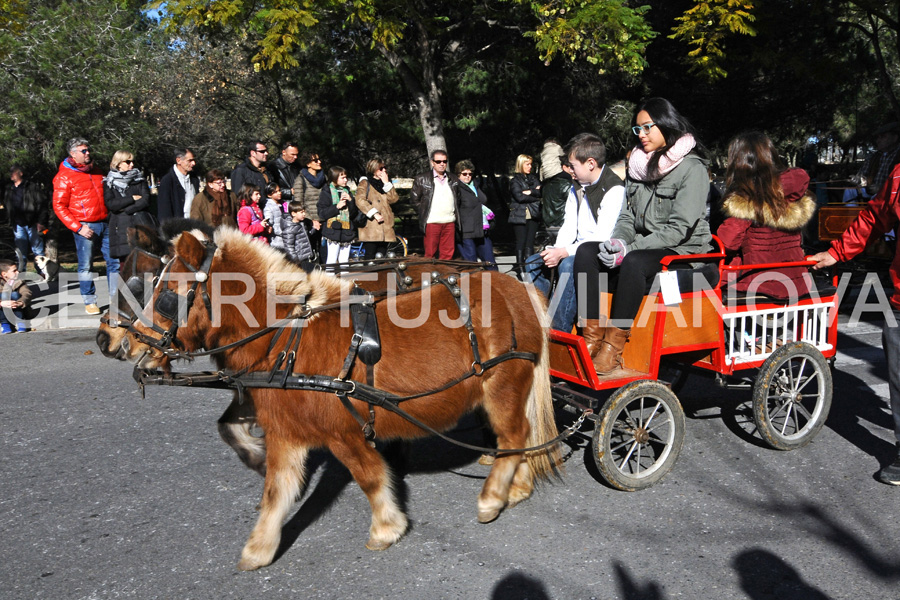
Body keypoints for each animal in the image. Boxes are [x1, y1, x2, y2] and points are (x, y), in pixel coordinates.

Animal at [119, 227, 556, 568]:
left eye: (165, 295)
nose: (128, 344)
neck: (287, 338)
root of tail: (517, 286)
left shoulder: (343, 432)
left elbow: (370, 476)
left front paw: (386, 528)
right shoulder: (286, 433)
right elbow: (276, 492)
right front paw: (258, 548)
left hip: (503, 386)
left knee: (514, 435)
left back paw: (493, 496)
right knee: (522, 437)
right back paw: (518, 487)